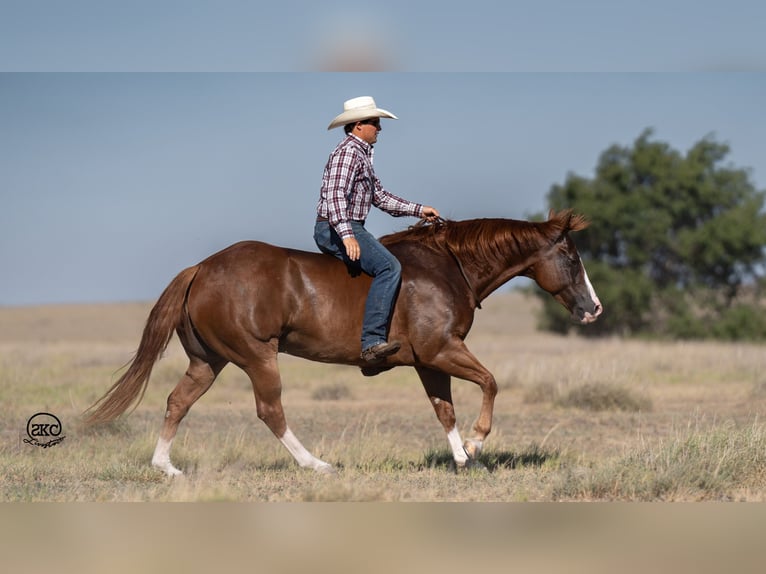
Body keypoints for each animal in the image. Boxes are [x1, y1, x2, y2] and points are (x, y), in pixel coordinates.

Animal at [81, 212, 604, 476]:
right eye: (572, 257)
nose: (594, 308)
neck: (448, 267)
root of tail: (201, 268)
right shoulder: (442, 350)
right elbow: (490, 384)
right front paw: (475, 445)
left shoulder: (430, 361)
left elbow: (445, 410)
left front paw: (460, 457)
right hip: (257, 356)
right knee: (270, 411)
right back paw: (316, 464)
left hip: (208, 362)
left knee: (177, 401)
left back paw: (165, 468)